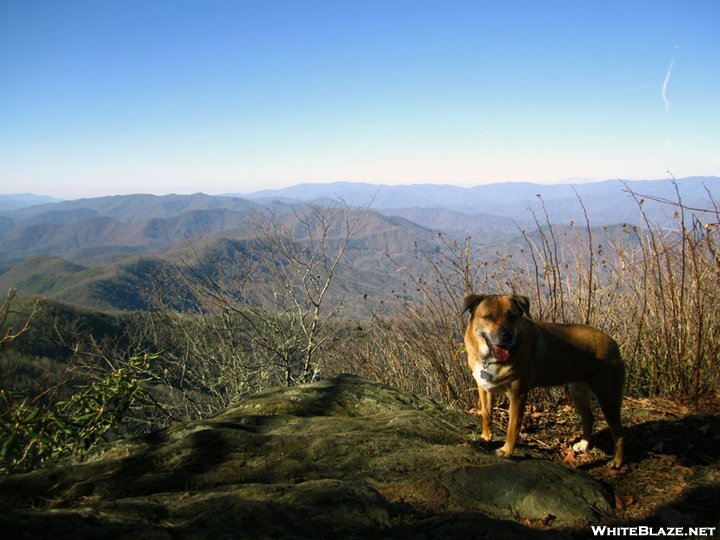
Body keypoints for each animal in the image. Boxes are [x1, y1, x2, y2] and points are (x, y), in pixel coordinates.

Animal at [466, 294, 624, 466]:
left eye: (513, 316)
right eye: (488, 317)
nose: (507, 336)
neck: (490, 359)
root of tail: (613, 343)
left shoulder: (517, 395)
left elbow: (512, 426)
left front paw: (506, 451)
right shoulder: (484, 389)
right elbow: (486, 415)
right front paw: (485, 438)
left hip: (608, 397)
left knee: (618, 432)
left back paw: (616, 461)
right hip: (578, 393)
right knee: (589, 418)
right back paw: (584, 444)